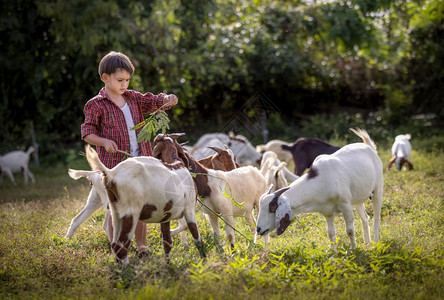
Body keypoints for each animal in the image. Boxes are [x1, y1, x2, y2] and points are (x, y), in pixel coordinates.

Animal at [255, 129, 384, 248]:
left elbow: (350, 231)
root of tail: (370, 148)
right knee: (365, 218)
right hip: (358, 198)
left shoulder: (345, 205)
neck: (321, 181)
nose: (259, 229)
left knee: (376, 219)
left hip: (378, 190)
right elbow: (331, 234)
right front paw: (334, 253)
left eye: (272, 208)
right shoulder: (328, 212)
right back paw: (367, 243)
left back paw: (375, 243)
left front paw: (354, 251)